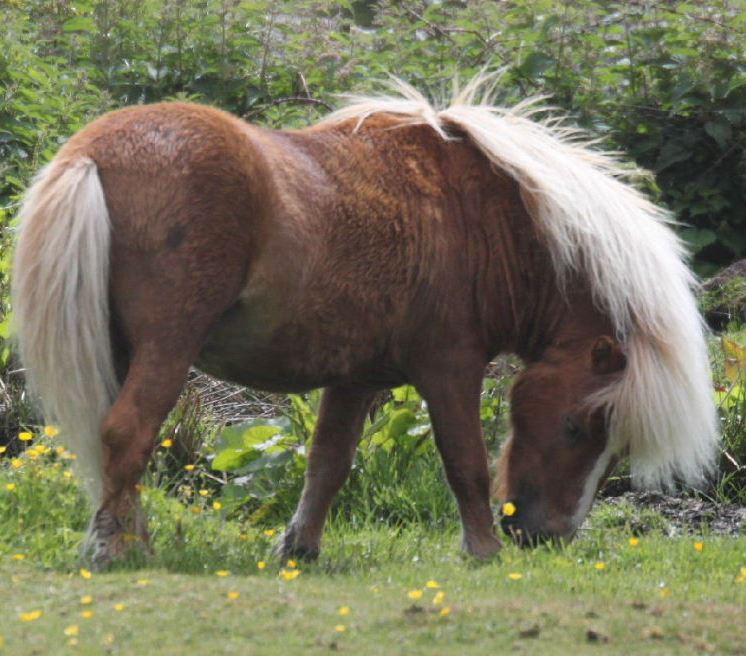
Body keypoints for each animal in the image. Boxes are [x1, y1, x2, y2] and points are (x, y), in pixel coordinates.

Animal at [11, 76, 718, 568]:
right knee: (127, 432)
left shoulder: (353, 379)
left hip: (122, 349)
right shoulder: (450, 370)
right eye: (577, 427)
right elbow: (464, 461)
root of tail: (94, 151)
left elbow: (327, 464)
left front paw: (299, 549)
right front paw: (482, 550)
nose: (548, 536)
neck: (477, 217)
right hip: (169, 345)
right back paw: (119, 550)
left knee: (113, 445)